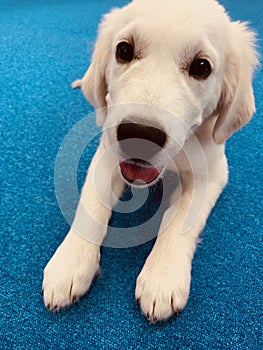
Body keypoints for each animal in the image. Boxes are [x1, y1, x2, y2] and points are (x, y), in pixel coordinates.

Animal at [42, 0, 258, 322]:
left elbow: (181, 220)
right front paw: (69, 263)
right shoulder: (108, 151)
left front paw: (163, 277)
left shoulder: (213, 171)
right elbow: (90, 205)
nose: (138, 135)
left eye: (201, 66)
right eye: (124, 50)